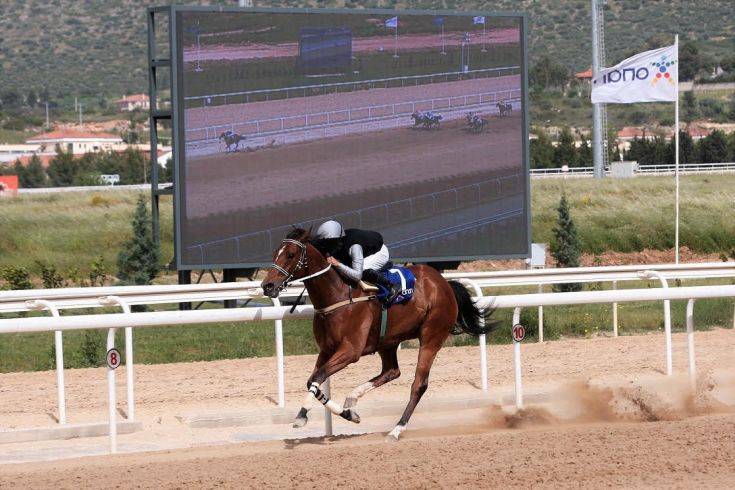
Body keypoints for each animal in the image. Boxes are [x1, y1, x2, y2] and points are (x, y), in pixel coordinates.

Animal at [258, 229, 494, 440]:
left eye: (290, 254)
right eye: (275, 253)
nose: (267, 285)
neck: (338, 295)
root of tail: (444, 283)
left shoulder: (350, 350)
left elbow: (317, 377)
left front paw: (319, 415)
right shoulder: (326, 349)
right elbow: (313, 380)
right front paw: (337, 414)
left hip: (432, 336)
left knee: (419, 384)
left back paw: (397, 429)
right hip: (388, 341)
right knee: (392, 371)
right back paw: (352, 400)